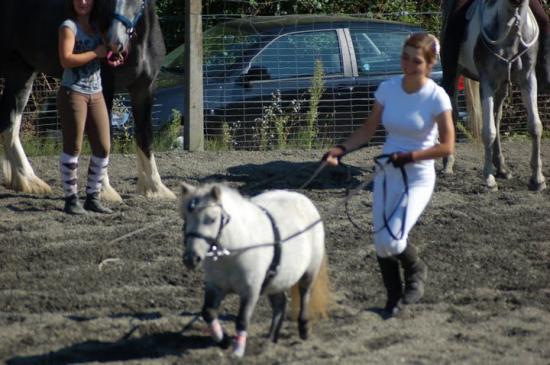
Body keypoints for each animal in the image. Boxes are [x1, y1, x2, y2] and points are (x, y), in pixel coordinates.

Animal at [0, 0, 176, 199]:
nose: (114, 42)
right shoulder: (104, 88)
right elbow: (104, 135)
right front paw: (104, 190)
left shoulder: (145, 89)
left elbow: (145, 135)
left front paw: (155, 188)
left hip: (21, 71)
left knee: (9, 123)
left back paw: (27, 180)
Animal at [181, 181, 330, 356]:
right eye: (185, 218)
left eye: (211, 219)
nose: (191, 258)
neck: (235, 249)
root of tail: (301, 198)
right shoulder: (215, 286)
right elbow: (208, 312)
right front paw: (223, 341)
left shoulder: (250, 290)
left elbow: (242, 320)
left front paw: (237, 351)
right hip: (275, 280)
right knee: (280, 303)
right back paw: (270, 340)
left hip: (309, 271)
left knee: (305, 293)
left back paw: (304, 327)